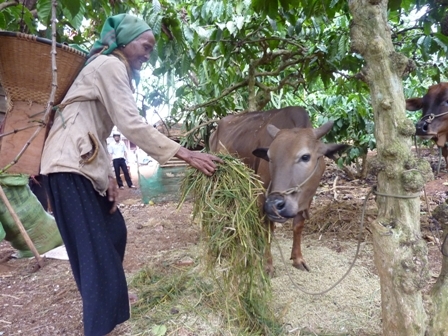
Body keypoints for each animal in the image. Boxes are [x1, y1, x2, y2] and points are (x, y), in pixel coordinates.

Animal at [210, 106, 346, 274]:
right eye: (269, 157)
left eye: (305, 156)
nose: (275, 204)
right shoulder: (262, 198)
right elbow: (268, 228)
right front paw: (267, 264)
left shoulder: (305, 201)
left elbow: (298, 226)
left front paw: (297, 258)